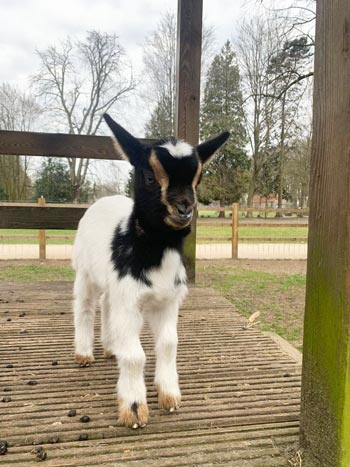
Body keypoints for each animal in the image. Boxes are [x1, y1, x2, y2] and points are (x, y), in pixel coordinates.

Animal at [72, 115, 228, 430]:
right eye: (149, 176)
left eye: (197, 178)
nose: (184, 208)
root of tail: (103, 200)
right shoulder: (130, 300)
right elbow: (135, 356)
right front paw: (133, 409)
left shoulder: (167, 301)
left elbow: (168, 344)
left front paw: (169, 396)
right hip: (84, 270)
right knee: (85, 305)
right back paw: (84, 353)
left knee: (107, 304)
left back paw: (111, 347)